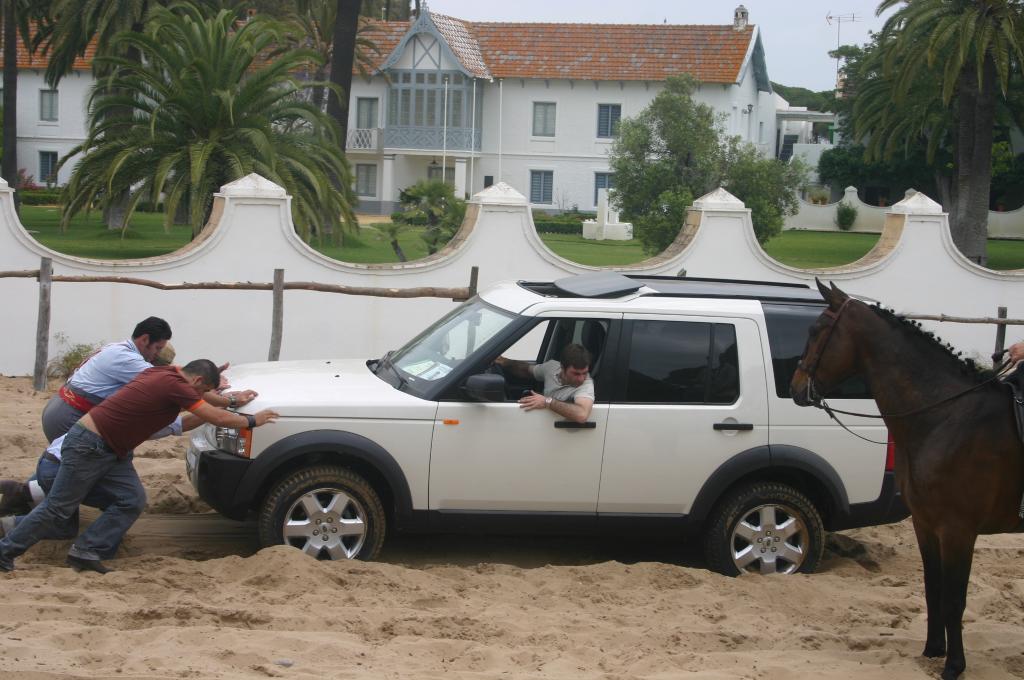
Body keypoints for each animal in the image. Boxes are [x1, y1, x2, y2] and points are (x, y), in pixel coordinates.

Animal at [786, 278, 1019, 675]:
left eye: (816, 330)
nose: (796, 387)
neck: (946, 417)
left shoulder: (958, 529)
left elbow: (955, 598)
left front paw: (954, 665)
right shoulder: (925, 524)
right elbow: (932, 588)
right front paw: (932, 650)